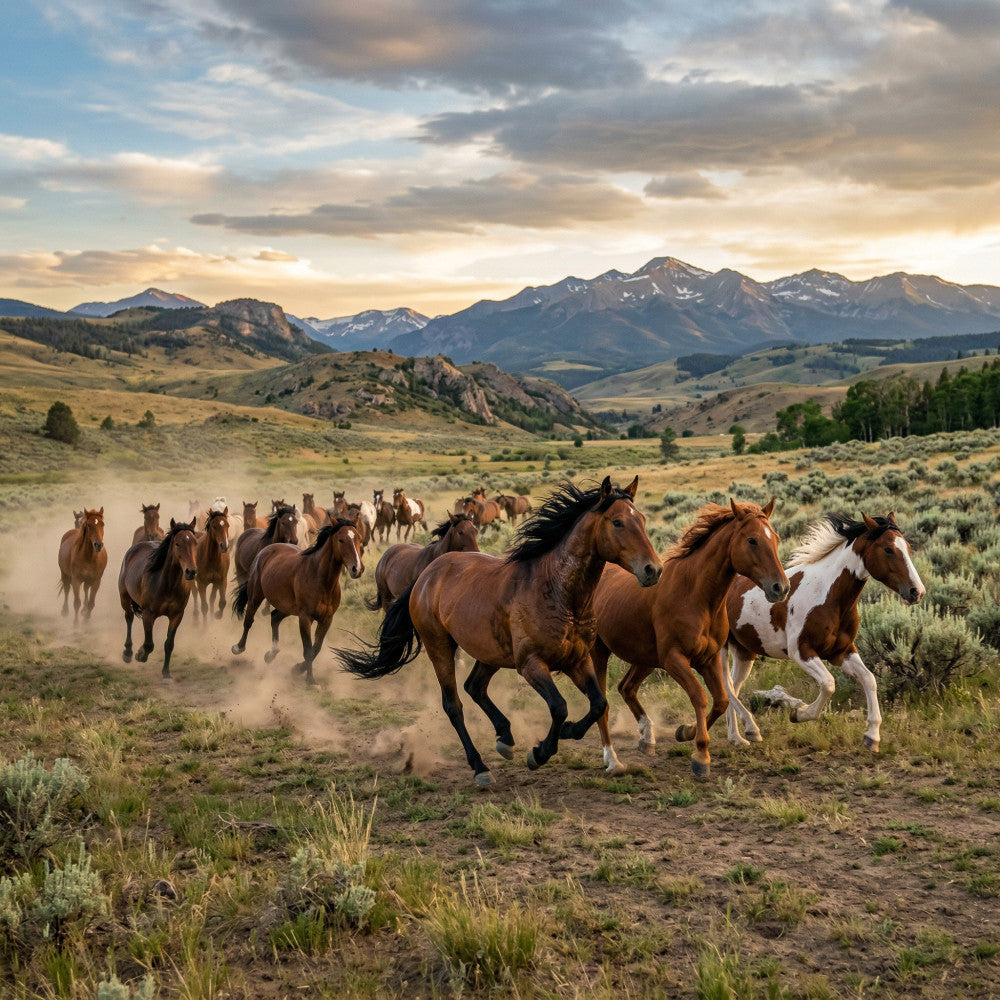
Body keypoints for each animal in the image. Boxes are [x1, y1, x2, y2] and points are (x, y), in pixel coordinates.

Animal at [118, 519, 198, 680]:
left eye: (195, 542)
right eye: (177, 543)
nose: (191, 571)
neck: (168, 585)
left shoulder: (177, 616)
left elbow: (169, 644)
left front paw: (166, 672)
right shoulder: (148, 614)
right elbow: (149, 644)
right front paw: (140, 654)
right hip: (124, 597)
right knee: (129, 617)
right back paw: (128, 652)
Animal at [230, 521, 365, 684]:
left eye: (359, 538)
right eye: (341, 540)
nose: (357, 569)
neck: (320, 579)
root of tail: (265, 551)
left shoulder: (327, 619)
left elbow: (316, 648)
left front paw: (297, 669)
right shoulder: (305, 618)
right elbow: (308, 650)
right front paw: (310, 680)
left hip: (286, 607)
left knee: (274, 618)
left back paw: (271, 654)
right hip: (255, 596)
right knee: (249, 620)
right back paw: (238, 647)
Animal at [339, 477, 661, 787]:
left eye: (643, 519)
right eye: (617, 522)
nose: (653, 570)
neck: (556, 591)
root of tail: (426, 575)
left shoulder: (578, 661)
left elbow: (598, 704)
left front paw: (569, 733)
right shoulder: (531, 665)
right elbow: (559, 707)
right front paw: (540, 752)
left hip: (490, 653)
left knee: (475, 687)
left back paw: (504, 737)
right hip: (439, 647)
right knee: (453, 705)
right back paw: (480, 767)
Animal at [590, 499, 789, 779]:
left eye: (776, 538)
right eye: (752, 540)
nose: (781, 587)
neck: (695, 595)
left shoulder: (709, 659)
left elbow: (721, 701)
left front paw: (685, 731)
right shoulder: (675, 659)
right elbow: (700, 696)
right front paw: (701, 755)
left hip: (646, 659)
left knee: (626, 687)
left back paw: (647, 737)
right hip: (600, 651)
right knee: (604, 702)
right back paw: (612, 759)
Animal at [724, 512, 925, 753]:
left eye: (908, 547)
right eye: (888, 549)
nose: (917, 592)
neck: (826, 594)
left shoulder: (842, 651)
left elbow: (869, 679)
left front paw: (872, 736)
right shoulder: (802, 652)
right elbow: (829, 684)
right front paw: (799, 713)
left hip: (745, 653)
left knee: (732, 686)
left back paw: (737, 737)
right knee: (725, 686)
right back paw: (748, 729)